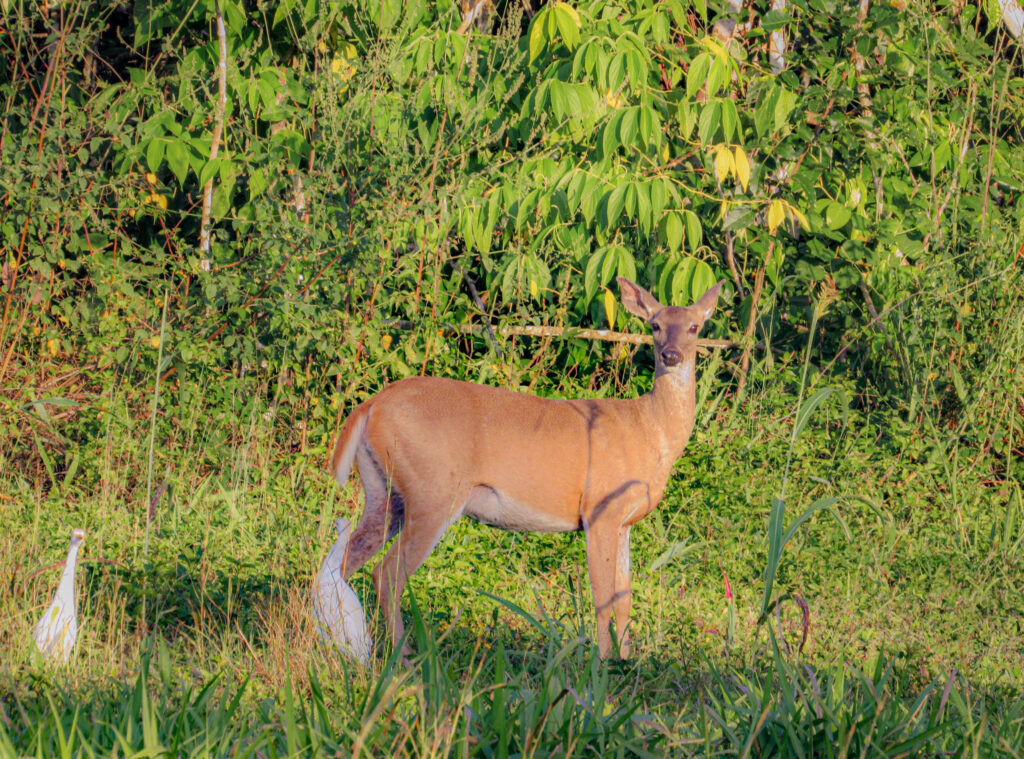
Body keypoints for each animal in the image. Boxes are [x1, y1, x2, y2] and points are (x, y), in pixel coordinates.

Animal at [327, 278, 720, 655]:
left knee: (343, 562)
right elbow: (603, 598)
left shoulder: (624, 521)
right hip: (434, 489)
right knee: (387, 574)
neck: (649, 431)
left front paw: (627, 660)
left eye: (695, 327)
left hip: (384, 491)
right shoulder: (600, 509)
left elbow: (624, 598)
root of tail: (371, 406)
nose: (671, 355)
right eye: (655, 325)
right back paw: (405, 657)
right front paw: (603, 663)